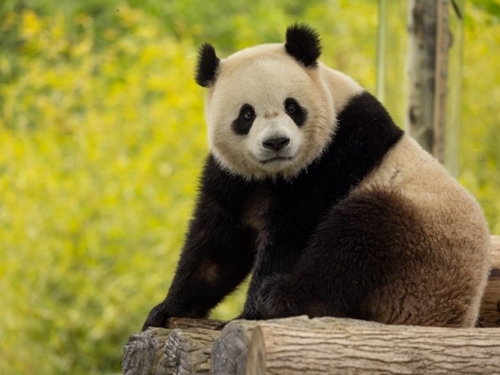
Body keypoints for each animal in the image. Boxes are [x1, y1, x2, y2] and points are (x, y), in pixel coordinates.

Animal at [143, 23, 490, 330]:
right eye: (247, 114)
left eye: (292, 106)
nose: (276, 142)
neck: (275, 174)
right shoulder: (235, 176)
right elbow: (218, 244)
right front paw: (166, 310)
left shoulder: (335, 155)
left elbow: (292, 234)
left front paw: (250, 313)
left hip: (420, 250)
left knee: (356, 239)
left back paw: (279, 297)